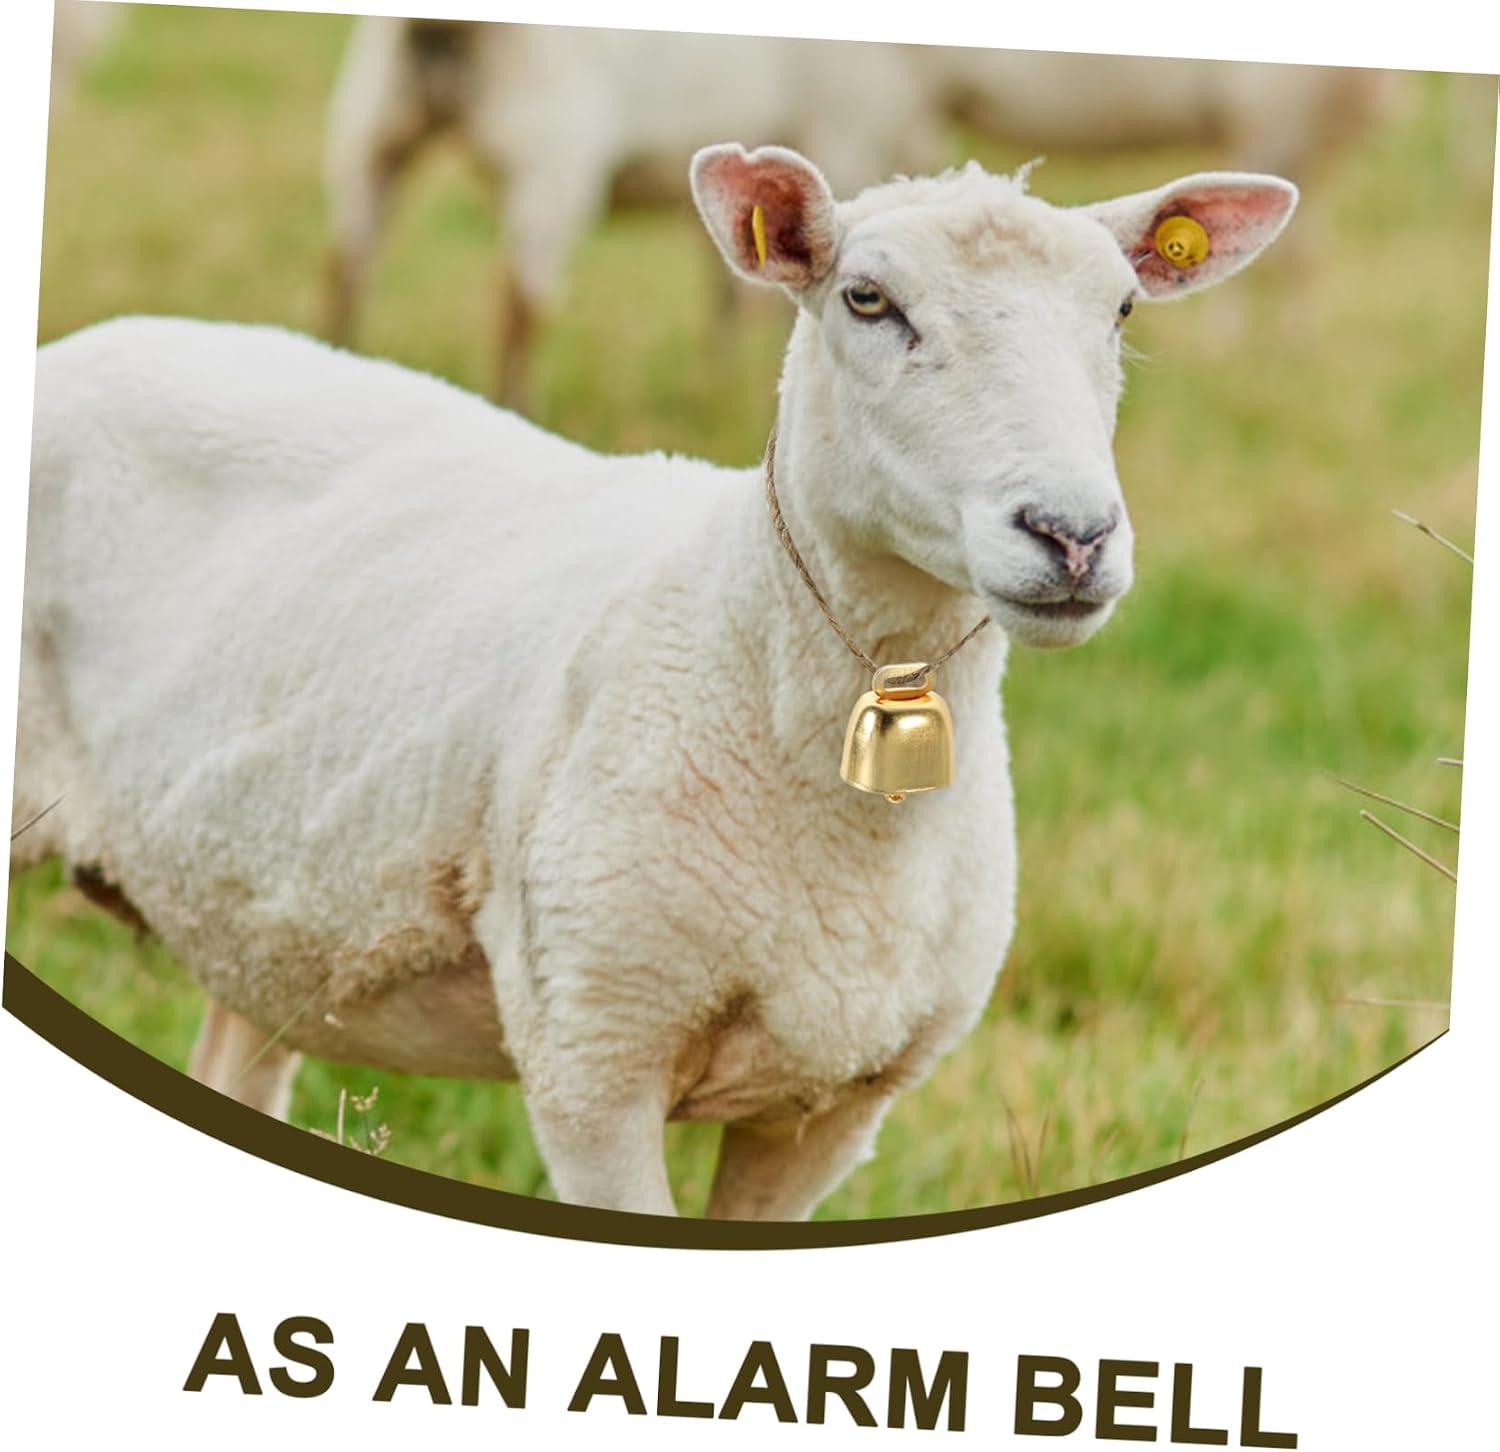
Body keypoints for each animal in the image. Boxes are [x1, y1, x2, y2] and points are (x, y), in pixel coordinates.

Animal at [15, 143, 1296, 1219]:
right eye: (866, 301)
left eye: (1121, 309)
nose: (1072, 536)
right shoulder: (596, 1055)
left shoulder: (833, 1107)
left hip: (270, 928)